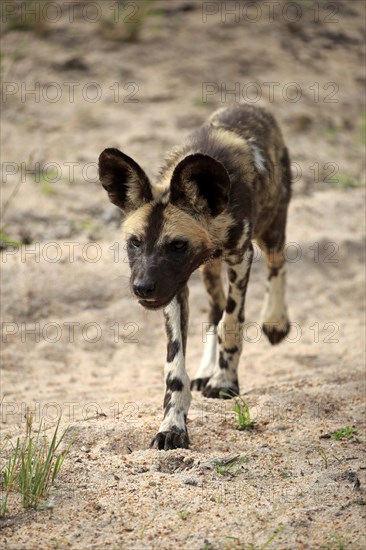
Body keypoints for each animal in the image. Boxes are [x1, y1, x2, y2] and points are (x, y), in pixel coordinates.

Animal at [98, 104, 292, 452]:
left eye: (177, 245)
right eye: (135, 242)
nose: (142, 288)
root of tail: (253, 105)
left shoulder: (241, 257)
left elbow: (232, 323)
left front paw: (225, 382)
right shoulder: (175, 287)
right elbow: (175, 370)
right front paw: (172, 425)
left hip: (270, 231)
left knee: (277, 265)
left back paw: (275, 322)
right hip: (208, 272)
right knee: (215, 309)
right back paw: (205, 370)